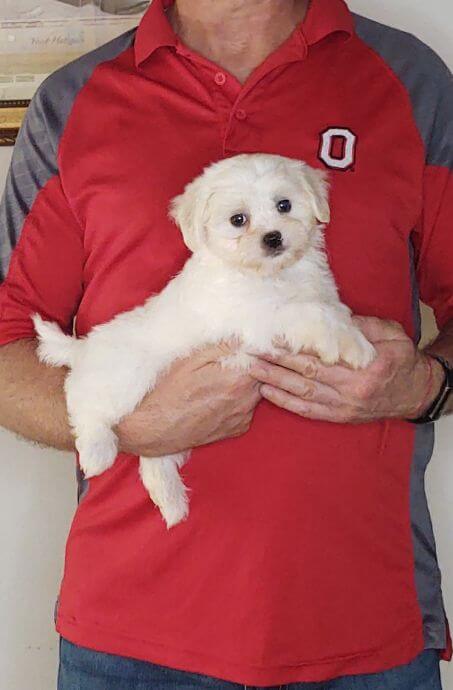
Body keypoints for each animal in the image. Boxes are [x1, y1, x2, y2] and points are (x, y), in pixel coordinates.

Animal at [33, 152, 376, 528]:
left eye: (284, 205)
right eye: (238, 220)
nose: (273, 238)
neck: (272, 275)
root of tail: (84, 348)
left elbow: (328, 308)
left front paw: (346, 332)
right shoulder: (259, 318)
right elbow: (307, 313)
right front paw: (353, 346)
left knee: (153, 460)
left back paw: (171, 502)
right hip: (123, 380)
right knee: (86, 405)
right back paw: (97, 453)